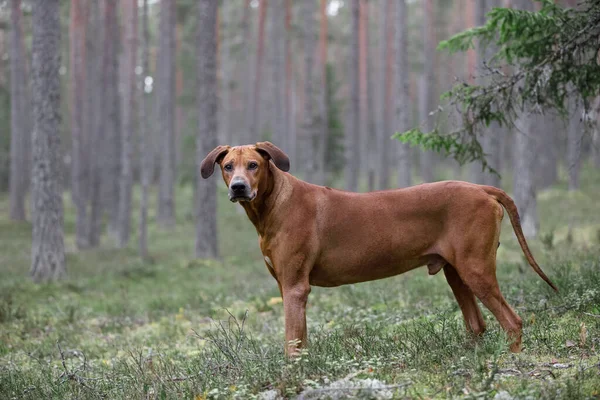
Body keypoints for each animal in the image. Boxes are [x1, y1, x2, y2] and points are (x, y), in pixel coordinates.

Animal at [202, 142, 556, 354]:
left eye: (253, 165)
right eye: (228, 167)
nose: (238, 188)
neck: (274, 205)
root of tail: (482, 188)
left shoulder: (294, 288)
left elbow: (293, 345)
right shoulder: (286, 286)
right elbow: (300, 340)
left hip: (476, 269)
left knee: (512, 322)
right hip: (457, 273)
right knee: (477, 325)